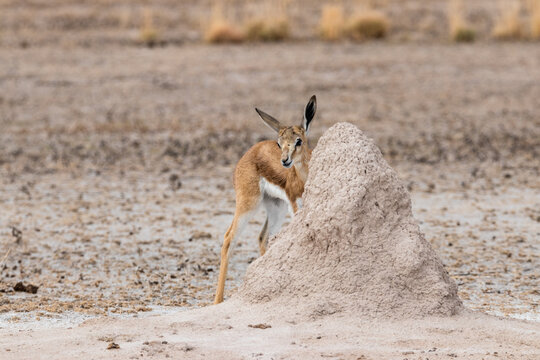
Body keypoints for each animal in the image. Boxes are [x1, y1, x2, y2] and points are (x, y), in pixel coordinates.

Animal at [213, 95, 316, 304]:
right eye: (279, 142)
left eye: (298, 141)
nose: (285, 161)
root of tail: (251, 151)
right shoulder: (296, 206)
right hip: (249, 204)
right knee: (229, 238)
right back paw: (217, 300)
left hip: (277, 207)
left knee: (263, 237)